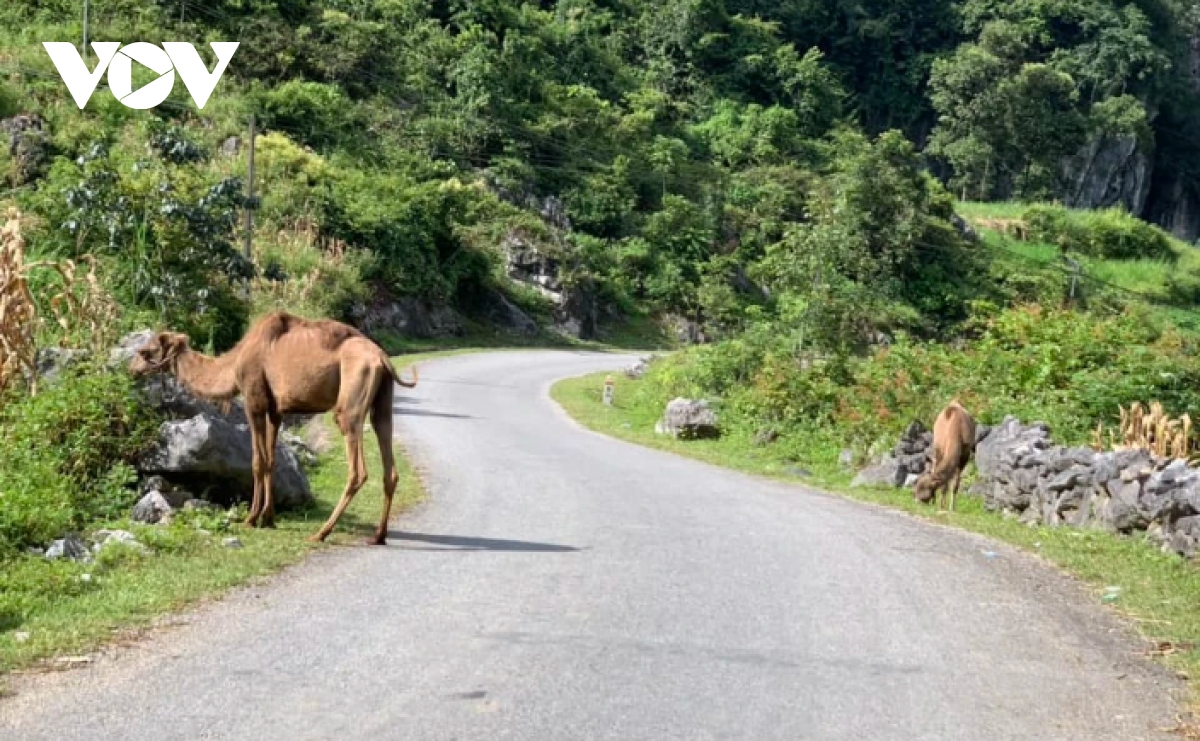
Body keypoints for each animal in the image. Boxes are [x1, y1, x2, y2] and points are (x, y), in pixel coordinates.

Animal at [127, 309, 417, 541]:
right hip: (383, 401)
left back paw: (321, 533)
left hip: (350, 402)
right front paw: (269, 517)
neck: (234, 365)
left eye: (145, 351)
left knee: (357, 469)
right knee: (388, 459)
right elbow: (272, 460)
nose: (131, 369)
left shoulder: (253, 400)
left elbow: (258, 461)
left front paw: (251, 518)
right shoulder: (276, 410)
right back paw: (378, 536)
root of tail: (382, 358)